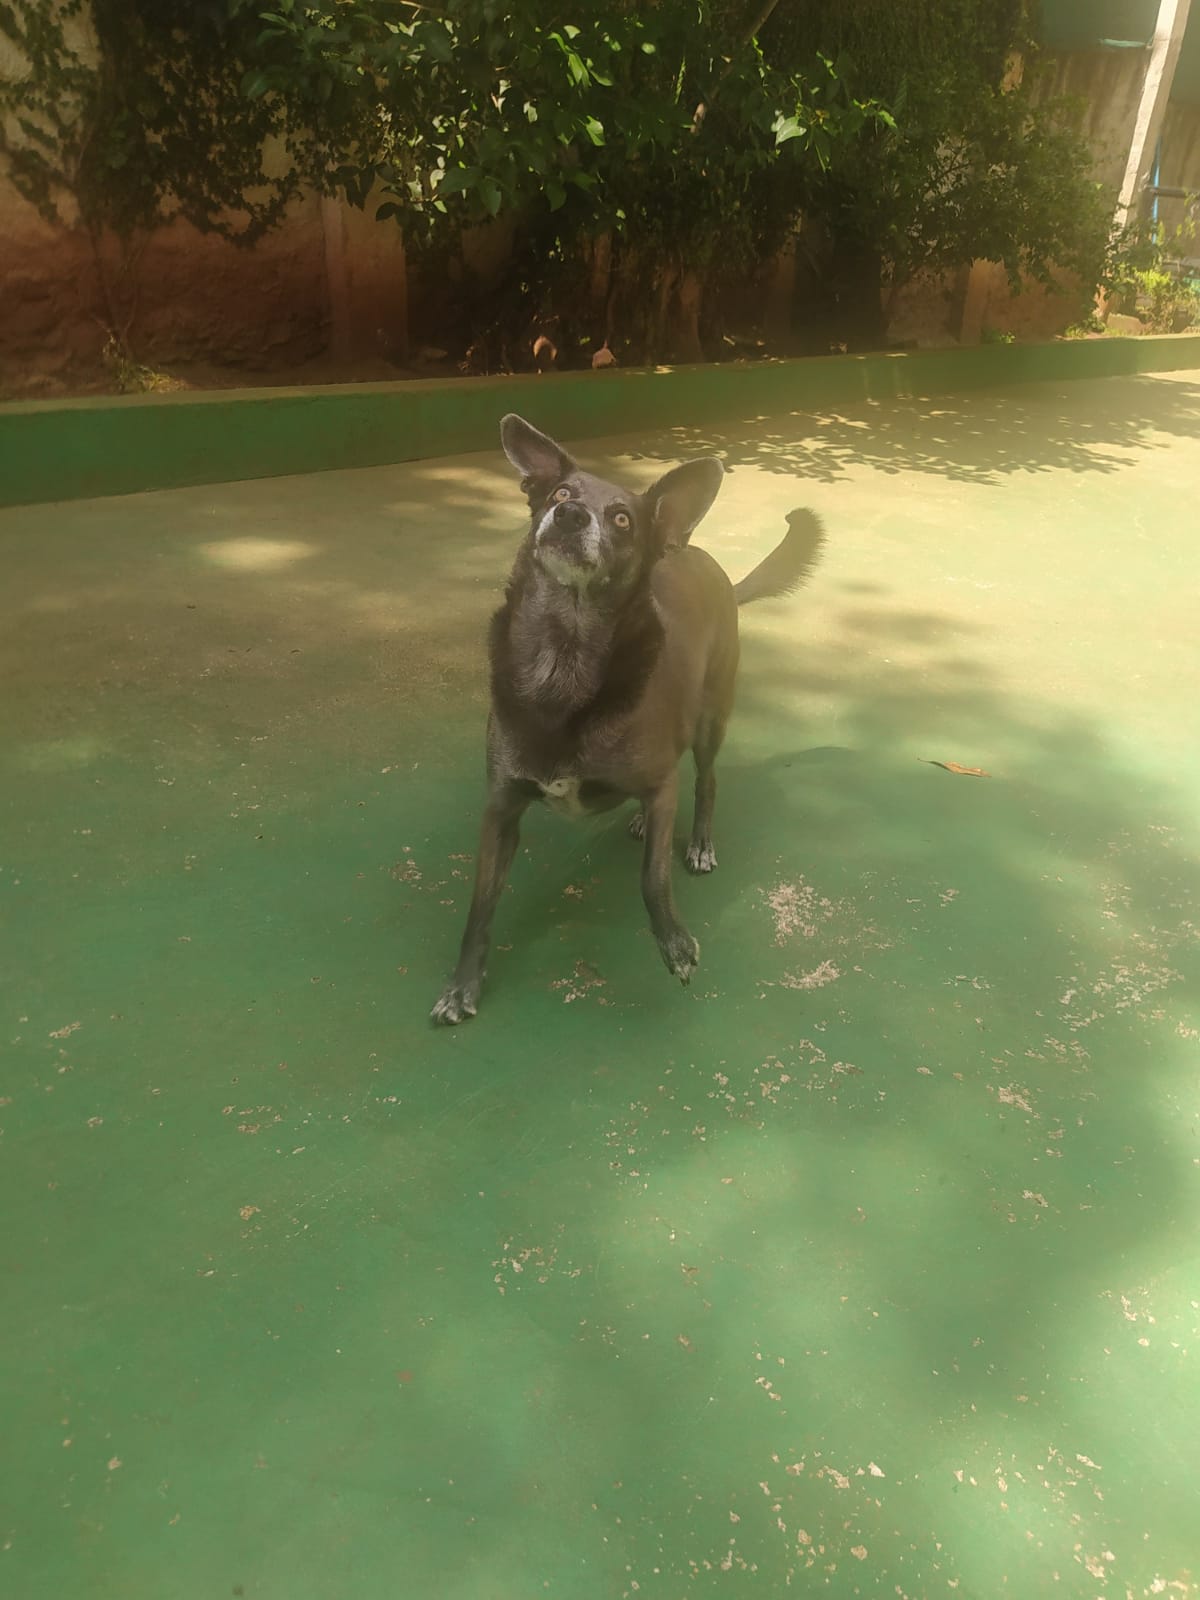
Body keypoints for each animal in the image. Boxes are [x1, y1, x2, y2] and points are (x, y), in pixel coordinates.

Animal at [430, 414, 825, 1024]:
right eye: (560, 493)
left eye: (621, 518)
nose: (569, 515)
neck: (562, 665)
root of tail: (700, 557)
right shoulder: (501, 808)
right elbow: (479, 906)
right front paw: (462, 984)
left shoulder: (659, 786)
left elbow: (652, 878)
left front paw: (674, 941)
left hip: (711, 720)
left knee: (705, 781)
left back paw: (699, 842)